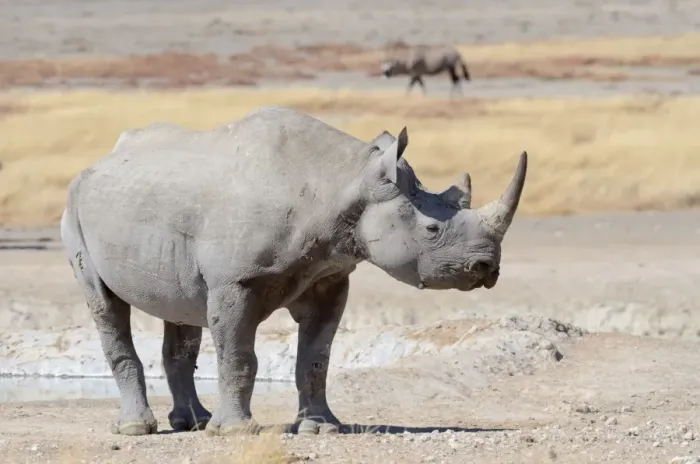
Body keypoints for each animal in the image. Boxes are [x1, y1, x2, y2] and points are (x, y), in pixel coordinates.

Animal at [60, 106, 527, 436]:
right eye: (432, 229)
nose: (486, 267)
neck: (343, 181)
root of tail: (98, 161)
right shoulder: (234, 281)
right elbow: (239, 355)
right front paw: (235, 432)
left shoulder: (329, 277)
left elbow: (316, 357)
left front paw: (321, 428)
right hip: (75, 208)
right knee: (105, 304)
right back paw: (138, 429)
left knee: (181, 309)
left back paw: (193, 422)